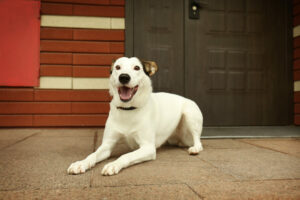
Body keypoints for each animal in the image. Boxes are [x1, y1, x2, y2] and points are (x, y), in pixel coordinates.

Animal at [67, 56, 204, 175]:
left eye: (137, 68)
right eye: (117, 67)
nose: (124, 77)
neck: (128, 110)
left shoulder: (148, 147)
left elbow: (125, 155)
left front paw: (113, 164)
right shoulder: (107, 145)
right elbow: (93, 154)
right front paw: (81, 163)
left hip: (190, 114)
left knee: (198, 139)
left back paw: (195, 148)